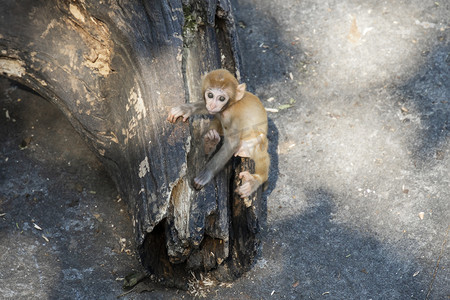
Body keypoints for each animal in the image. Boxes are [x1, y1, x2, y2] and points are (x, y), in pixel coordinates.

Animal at [168, 69, 268, 198]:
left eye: (221, 98)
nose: (212, 105)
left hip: (255, 142)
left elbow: (231, 144)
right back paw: (210, 142)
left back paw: (254, 181)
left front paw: (206, 175)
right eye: (210, 95)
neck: (229, 107)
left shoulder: (235, 119)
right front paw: (185, 109)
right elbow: (208, 109)